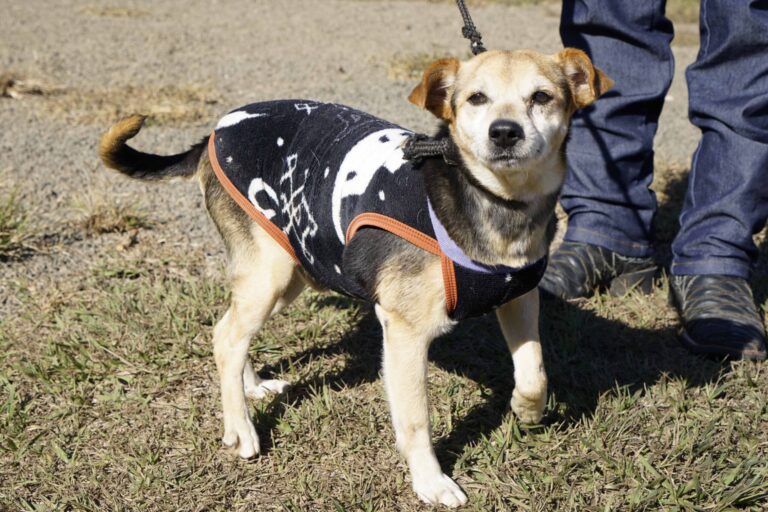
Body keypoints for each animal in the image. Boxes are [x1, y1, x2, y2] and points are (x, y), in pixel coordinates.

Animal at [99, 49, 612, 508]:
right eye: (476, 99)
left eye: (542, 97)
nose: (504, 132)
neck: (490, 201)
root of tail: (212, 132)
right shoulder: (405, 333)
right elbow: (415, 421)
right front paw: (430, 482)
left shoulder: (519, 297)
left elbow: (534, 372)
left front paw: (526, 410)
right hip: (272, 273)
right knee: (227, 335)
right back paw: (240, 428)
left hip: (292, 267)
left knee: (229, 328)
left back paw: (250, 387)